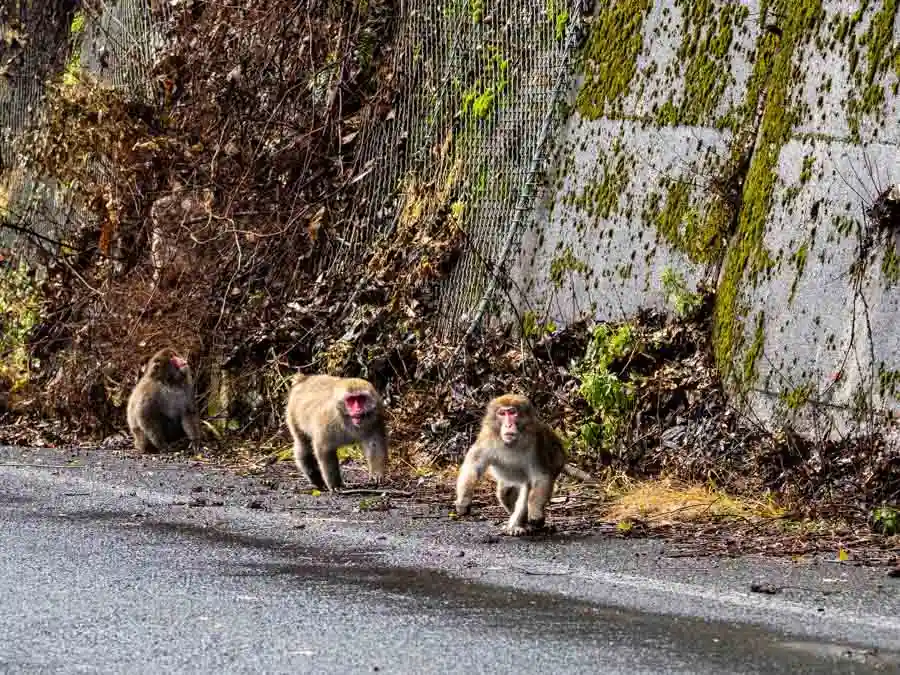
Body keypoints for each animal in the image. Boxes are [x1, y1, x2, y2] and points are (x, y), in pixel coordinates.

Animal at [454, 394, 588, 536]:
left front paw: (535, 512)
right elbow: (473, 466)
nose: (508, 425)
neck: (512, 442)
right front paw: (463, 500)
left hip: (558, 462)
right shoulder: (487, 437)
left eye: (512, 412)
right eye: (502, 413)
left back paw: (518, 525)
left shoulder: (536, 443)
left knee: (527, 489)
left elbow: (540, 477)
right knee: (504, 492)